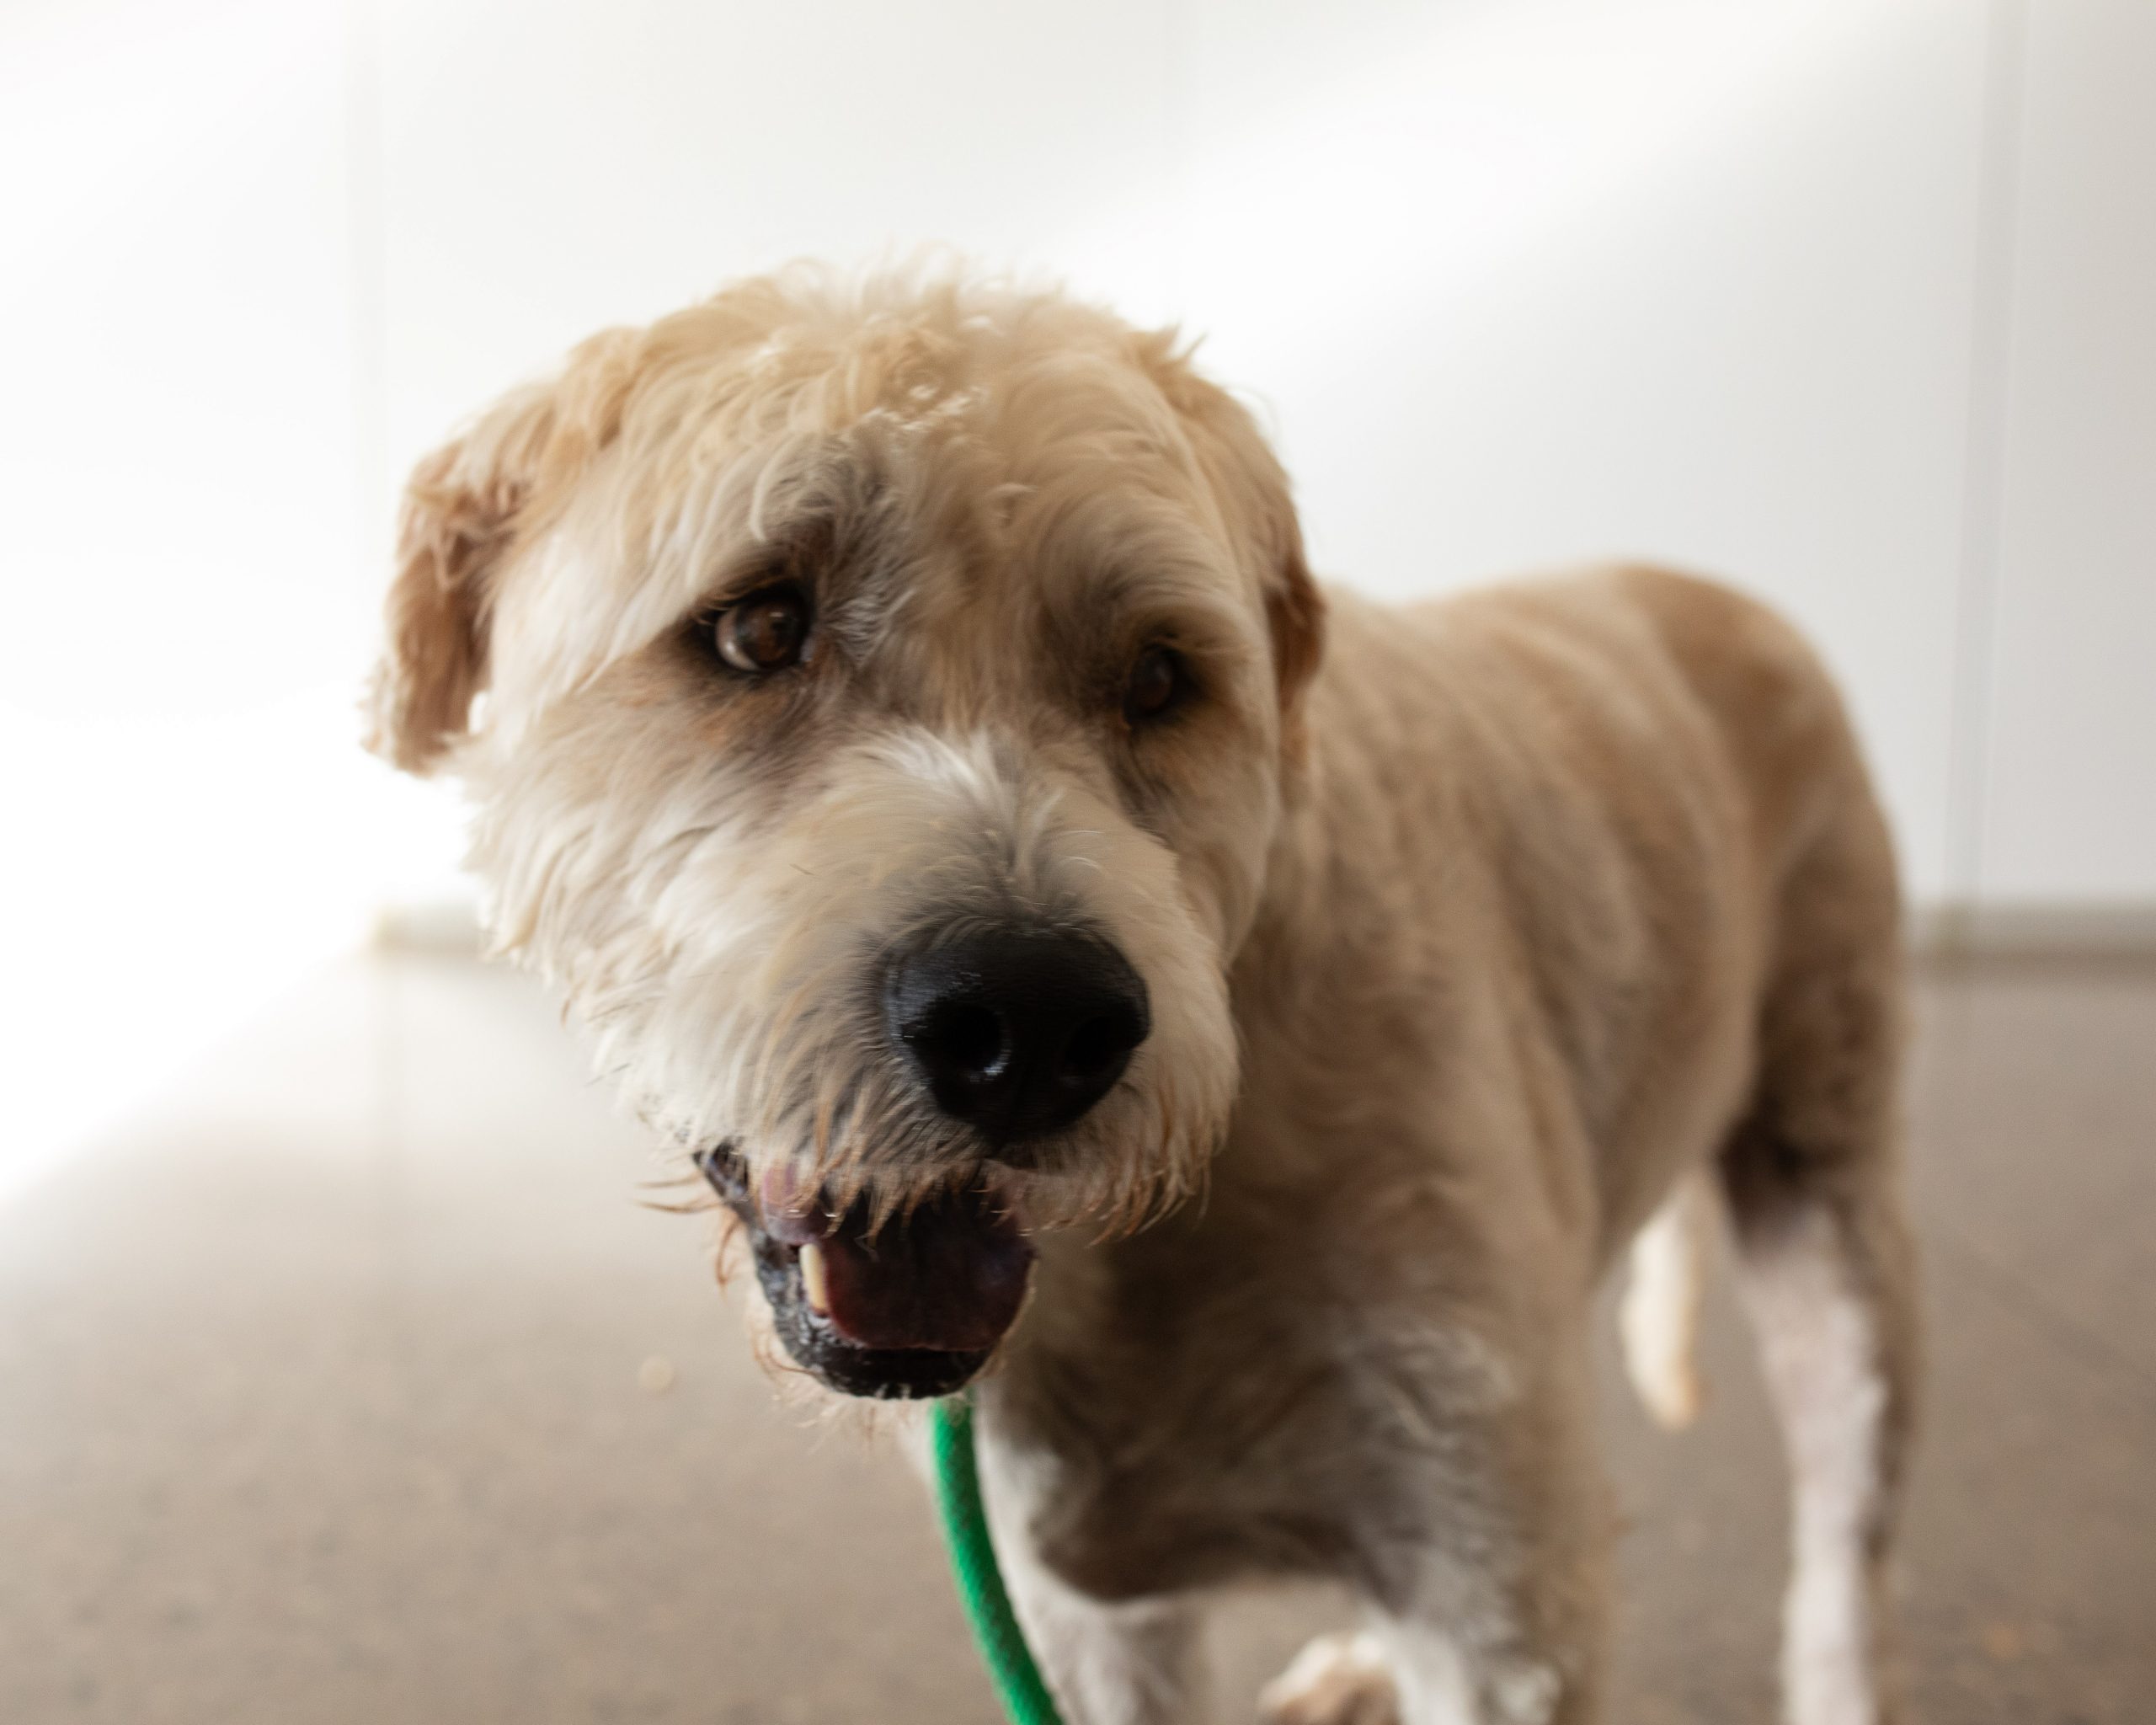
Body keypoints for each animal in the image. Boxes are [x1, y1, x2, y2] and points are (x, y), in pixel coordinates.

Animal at [366, 265, 1917, 1725]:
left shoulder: (1498, 1601)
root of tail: (1705, 584)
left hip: (1837, 1258)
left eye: (1161, 677)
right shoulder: (1096, 1623)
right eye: (757, 627)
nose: (1034, 1028)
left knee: (1840, 1566)